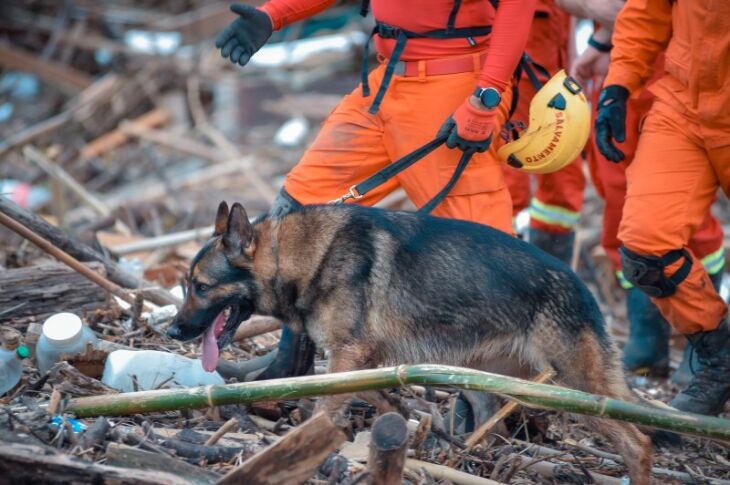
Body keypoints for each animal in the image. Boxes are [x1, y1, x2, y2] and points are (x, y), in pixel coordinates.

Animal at [168, 199, 652, 480]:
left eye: (202, 287)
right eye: (186, 285)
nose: (171, 331)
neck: (301, 256)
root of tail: (583, 288)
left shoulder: (348, 354)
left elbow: (323, 411)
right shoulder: (364, 361)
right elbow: (382, 401)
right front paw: (407, 425)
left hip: (572, 388)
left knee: (639, 442)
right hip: (484, 378)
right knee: (491, 428)